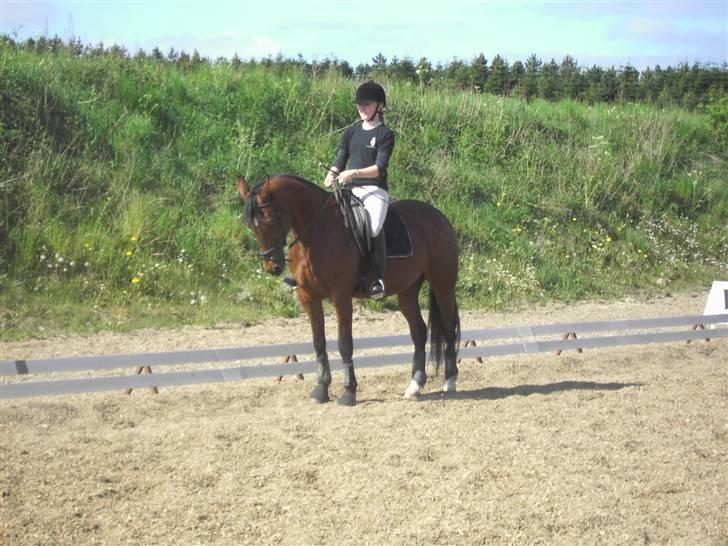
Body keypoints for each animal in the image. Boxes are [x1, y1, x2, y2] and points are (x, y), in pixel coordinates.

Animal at [237, 172, 460, 406]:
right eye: (251, 226)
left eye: (270, 221)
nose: (272, 267)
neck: (317, 233)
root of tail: (440, 217)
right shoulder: (308, 297)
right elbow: (319, 343)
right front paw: (321, 390)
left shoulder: (341, 296)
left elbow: (344, 343)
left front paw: (349, 392)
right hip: (407, 291)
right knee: (418, 331)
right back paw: (414, 386)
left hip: (442, 286)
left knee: (447, 328)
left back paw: (450, 381)